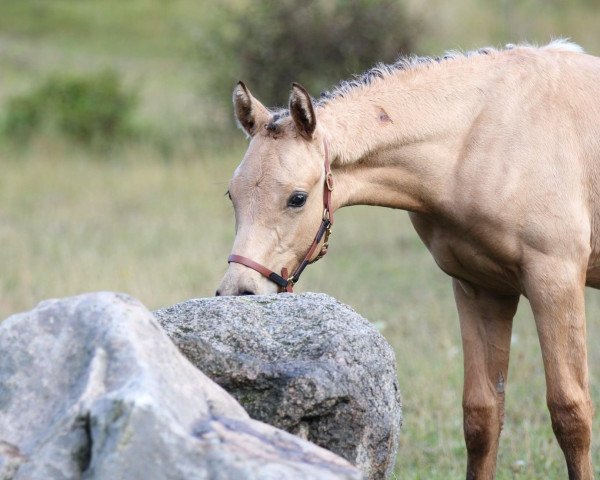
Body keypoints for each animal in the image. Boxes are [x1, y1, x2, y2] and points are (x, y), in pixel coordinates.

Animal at [217, 42, 600, 480]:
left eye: (297, 198)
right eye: (232, 194)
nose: (239, 291)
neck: (480, 136)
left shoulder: (555, 282)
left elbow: (570, 413)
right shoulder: (481, 289)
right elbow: (482, 415)